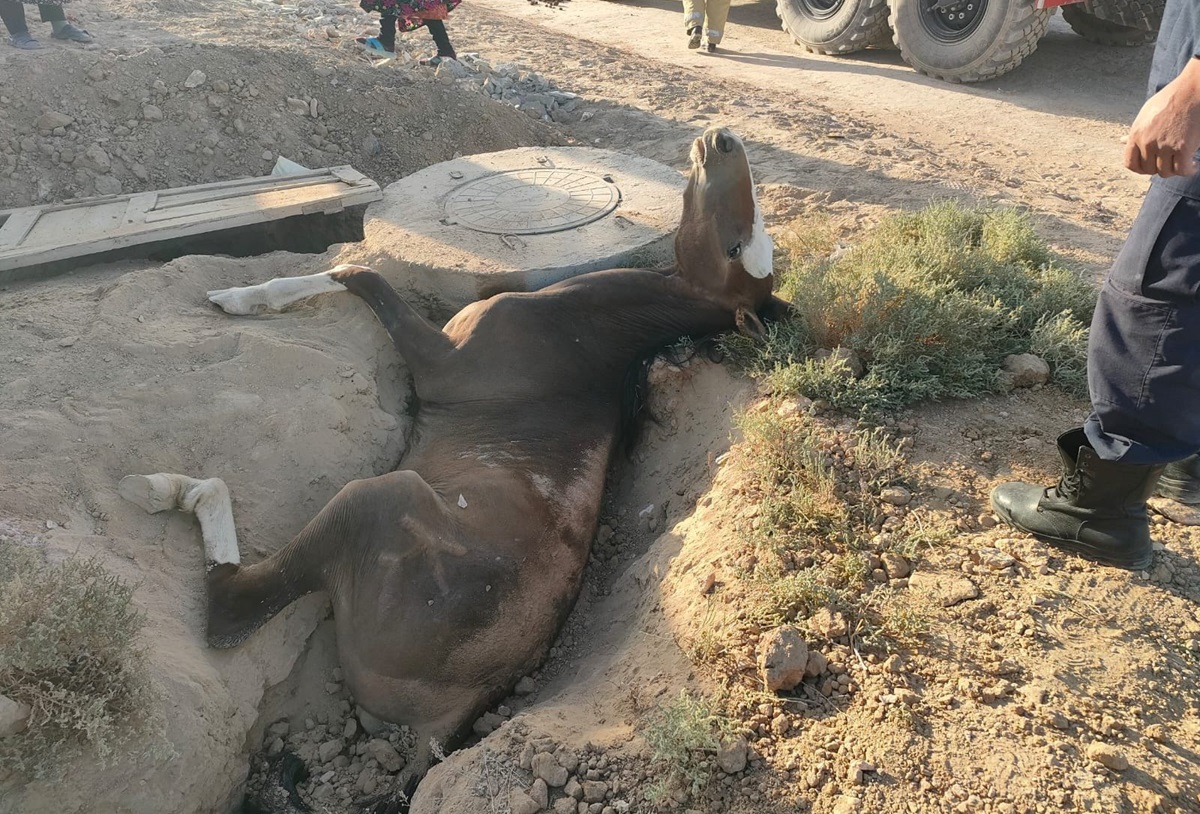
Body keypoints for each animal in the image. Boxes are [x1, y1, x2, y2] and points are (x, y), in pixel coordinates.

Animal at [119, 126, 777, 801]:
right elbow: (360, 273)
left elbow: (358, 273)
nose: (724, 140)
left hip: (377, 499)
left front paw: (238, 297)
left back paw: (163, 487)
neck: (591, 335)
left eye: (735, 244)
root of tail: (448, 720)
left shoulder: (435, 356)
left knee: (231, 607)